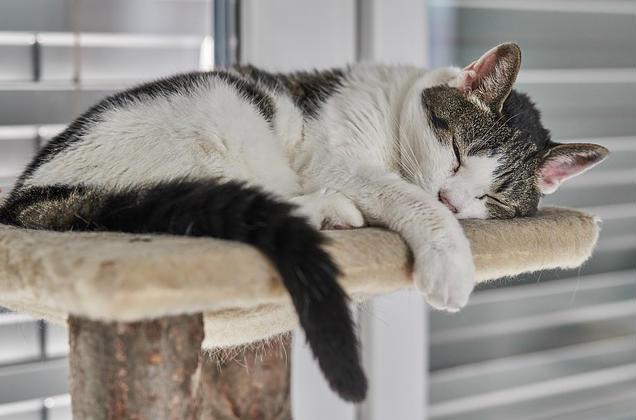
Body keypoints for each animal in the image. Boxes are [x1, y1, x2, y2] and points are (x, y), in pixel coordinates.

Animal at [0, 41, 608, 400]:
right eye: (457, 151)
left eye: (494, 199)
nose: (455, 200)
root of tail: (26, 196)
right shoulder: (332, 158)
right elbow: (409, 201)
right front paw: (448, 253)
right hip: (223, 114)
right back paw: (331, 212)